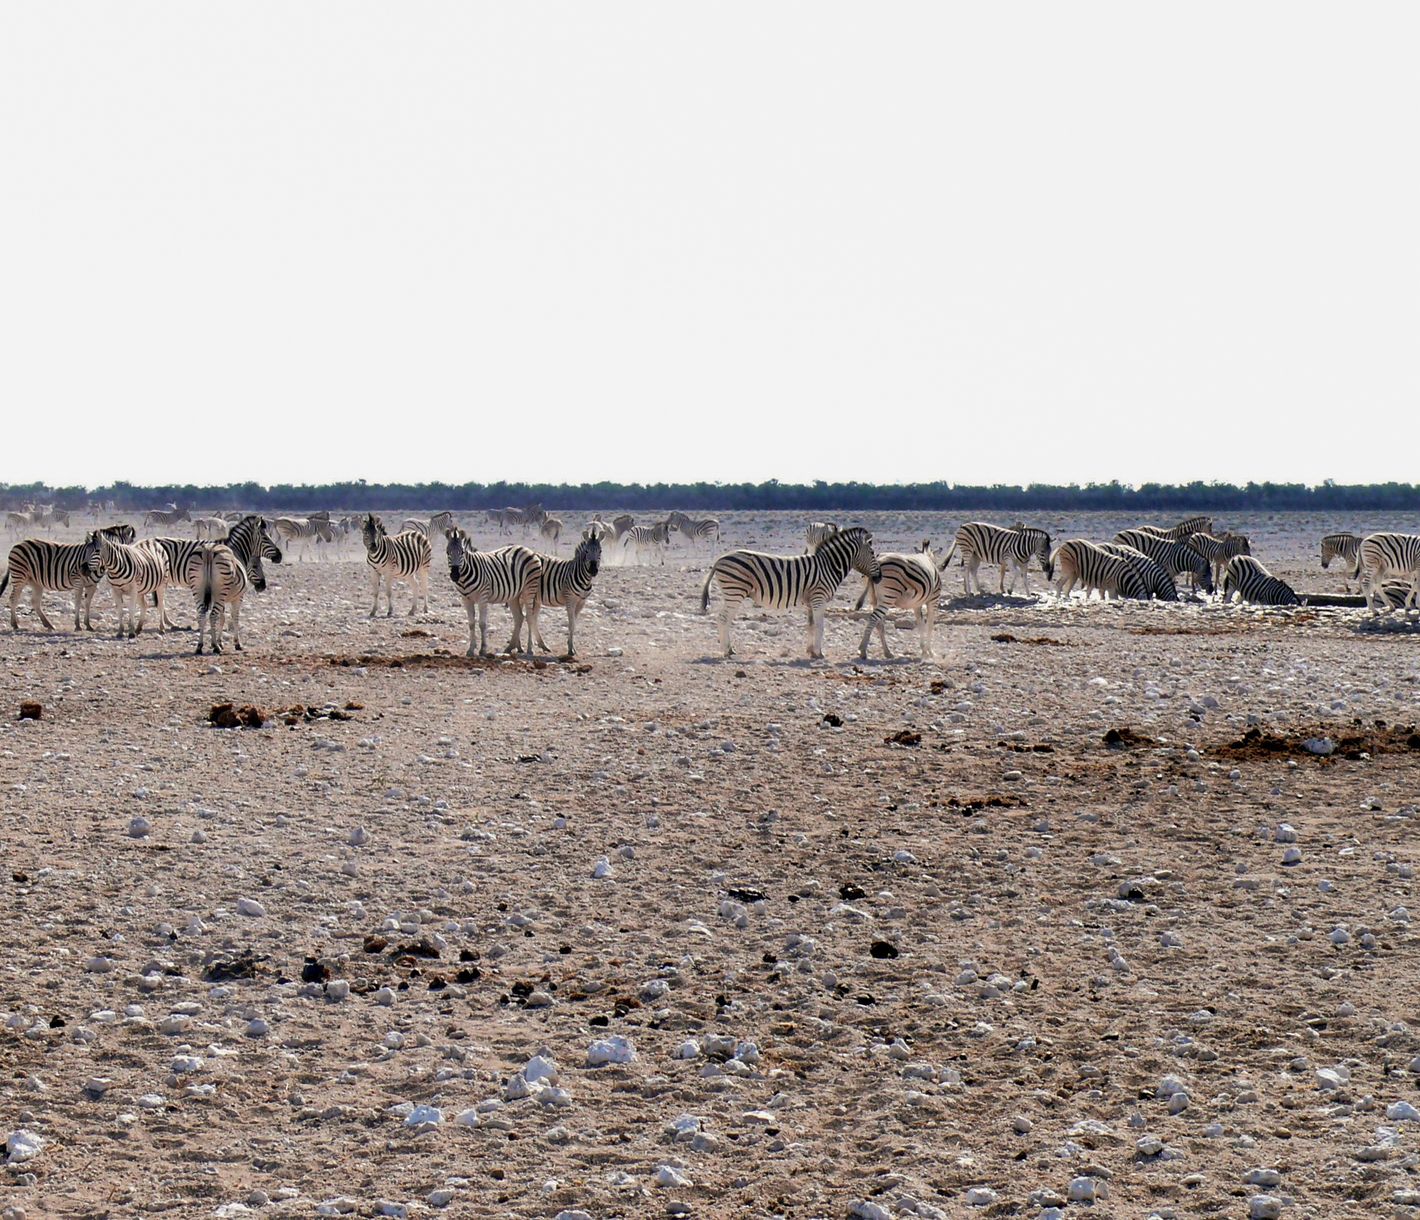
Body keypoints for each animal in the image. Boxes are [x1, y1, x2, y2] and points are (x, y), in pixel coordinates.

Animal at [699, 526, 881, 659]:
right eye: (872, 553)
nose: (879, 578)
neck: (828, 566)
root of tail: (720, 559)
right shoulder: (819, 598)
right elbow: (820, 626)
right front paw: (819, 653)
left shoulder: (811, 601)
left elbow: (811, 625)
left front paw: (811, 651)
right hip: (735, 592)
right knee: (723, 618)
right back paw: (726, 651)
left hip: (732, 593)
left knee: (725, 618)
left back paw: (729, 649)